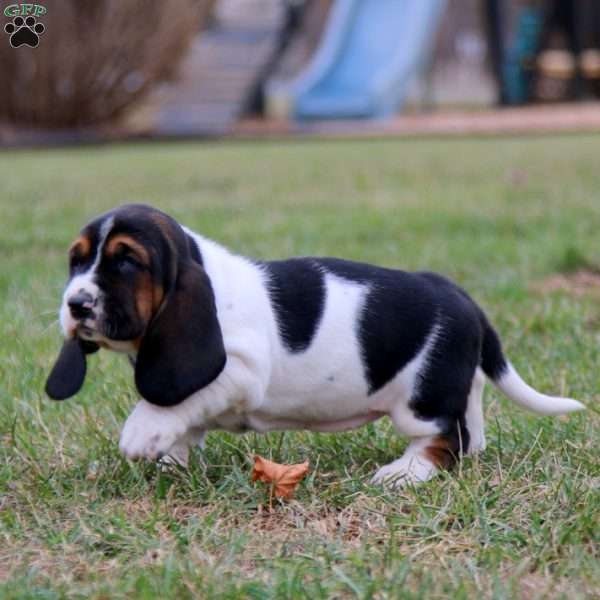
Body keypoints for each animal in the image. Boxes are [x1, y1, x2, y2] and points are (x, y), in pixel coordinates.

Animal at [45, 204, 580, 486]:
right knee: (471, 421)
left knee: (447, 439)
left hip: (419, 399)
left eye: (126, 261)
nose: (76, 305)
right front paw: (170, 457)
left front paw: (145, 432)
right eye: (75, 261)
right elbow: (182, 417)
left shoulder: (240, 372)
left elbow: (174, 400)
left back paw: (402, 472)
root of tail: (460, 296)